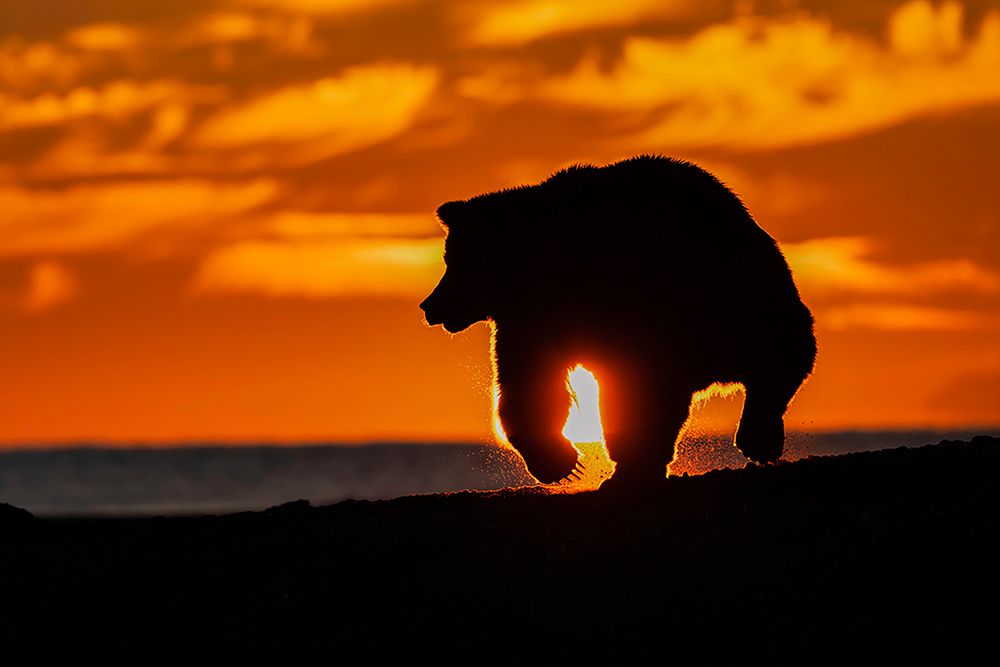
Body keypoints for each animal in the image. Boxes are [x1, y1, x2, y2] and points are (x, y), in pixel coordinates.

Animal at [418, 157, 816, 490]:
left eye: (453, 261)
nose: (430, 306)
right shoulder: (531, 322)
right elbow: (529, 384)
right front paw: (562, 462)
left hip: (737, 289)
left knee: (781, 347)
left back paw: (755, 438)